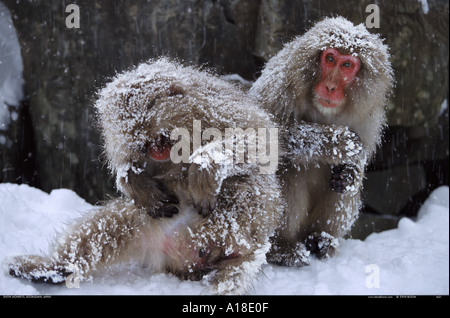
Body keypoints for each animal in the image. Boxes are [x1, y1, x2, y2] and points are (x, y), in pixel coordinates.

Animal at [250, 16, 394, 266]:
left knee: (343, 189)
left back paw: (321, 239)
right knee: (289, 167)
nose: (330, 86)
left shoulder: (369, 114)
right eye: (329, 59)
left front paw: (351, 171)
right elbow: (263, 136)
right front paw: (341, 142)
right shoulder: (279, 86)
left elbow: (357, 163)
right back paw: (281, 247)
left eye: (347, 65)